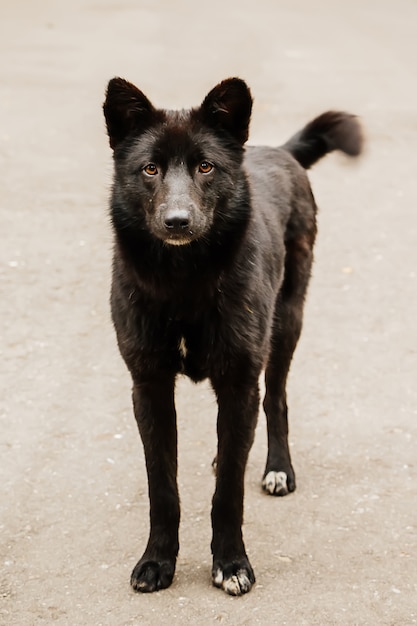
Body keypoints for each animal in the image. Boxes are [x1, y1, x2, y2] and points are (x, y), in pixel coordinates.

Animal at [103, 78, 360, 596]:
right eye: (150, 168)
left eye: (206, 166)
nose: (177, 221)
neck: (183, 282)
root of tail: (280, 151)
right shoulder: (149, 388)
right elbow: (162, 487)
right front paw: (157, 561)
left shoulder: (240, 382)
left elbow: (229, 493)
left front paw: (231, 562)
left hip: (286, 325)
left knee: (275, 400)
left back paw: (278, 468)